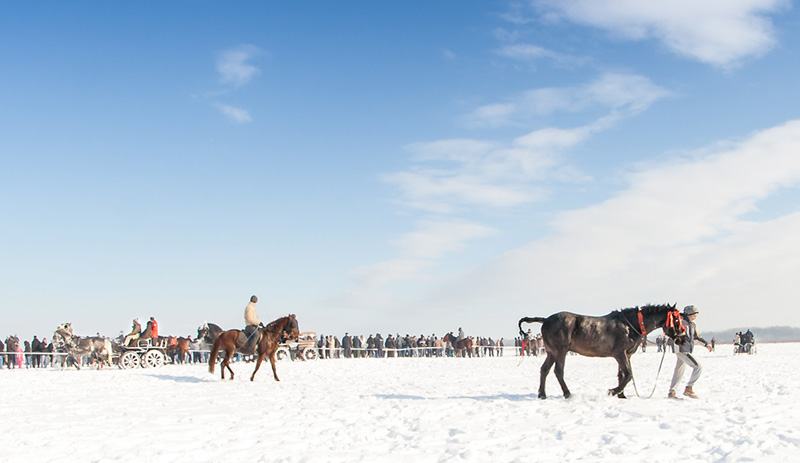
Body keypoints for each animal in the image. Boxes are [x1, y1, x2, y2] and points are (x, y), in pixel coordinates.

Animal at [520, 304, 688, 398]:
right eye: (677, 320)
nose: (683, 338)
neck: (630, 326)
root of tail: (546, 320)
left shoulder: (627, 355)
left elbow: (622, 375)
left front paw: (621, 395)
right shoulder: (620, 354)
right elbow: (628, 374)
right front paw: (613, 391)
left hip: (551, 352)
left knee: (544, 370)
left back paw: (542, 394)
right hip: (560, 351)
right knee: (558, 371)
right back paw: (567, 393)